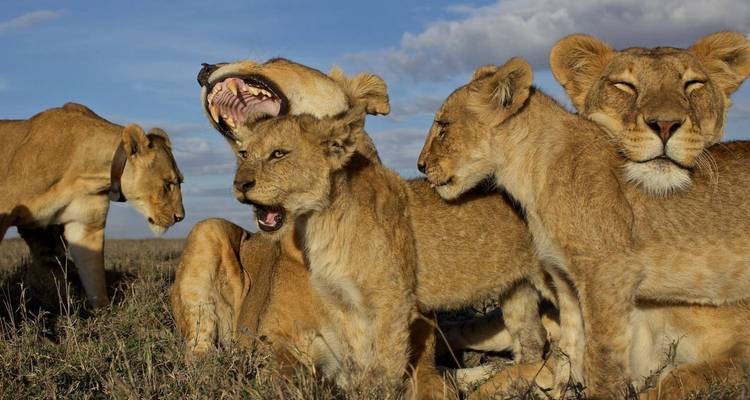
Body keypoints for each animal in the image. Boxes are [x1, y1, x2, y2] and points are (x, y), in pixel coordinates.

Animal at [0, 103, 185, 307]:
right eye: (167, 184)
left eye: (180, 181)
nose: (180, 217)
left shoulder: (86, 226)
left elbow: (94, 277)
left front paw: (104, 311)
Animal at [418, 57, 750, 398]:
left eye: (443, 127)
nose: (420, 165)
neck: (529, 174)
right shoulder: (565, 278)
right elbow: (570, 350)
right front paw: (561, 387)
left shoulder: (609, 275)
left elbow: (605, 358)